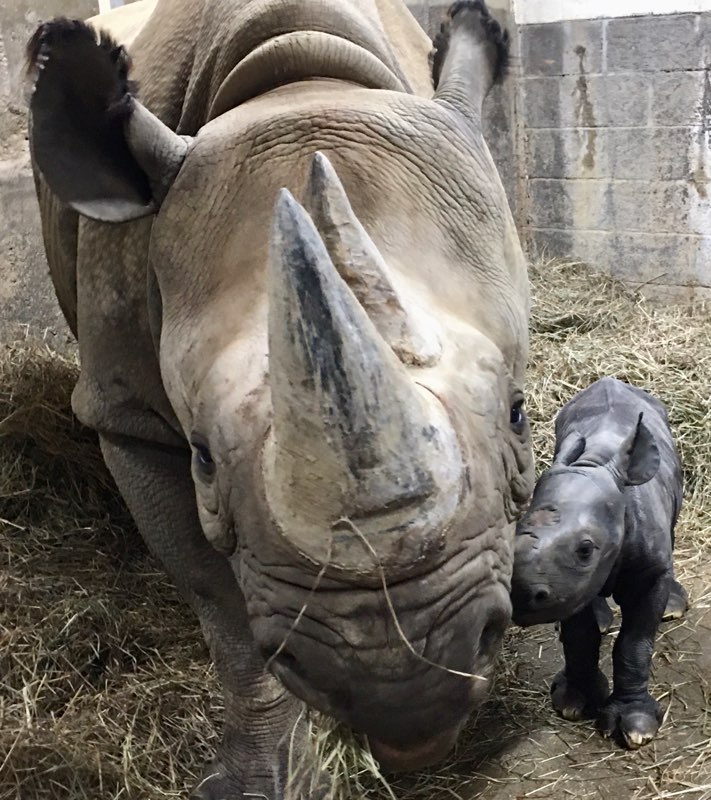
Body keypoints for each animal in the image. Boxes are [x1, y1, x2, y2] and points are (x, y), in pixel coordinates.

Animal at [26, 0, 532, 795]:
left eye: (518, 412)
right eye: (202, 457)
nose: (399, 685)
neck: (298, 86)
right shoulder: (128, 417)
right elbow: (223, 608)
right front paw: (263, 777)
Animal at [511, 377, 688, 750]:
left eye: (585, 549)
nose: (519, 595)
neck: (596, 461)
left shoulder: (643, 574)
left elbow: (634, 642)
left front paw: (636, 726)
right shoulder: (569, 585)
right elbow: (580, 634)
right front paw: (574, 702)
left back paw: (673, 607)